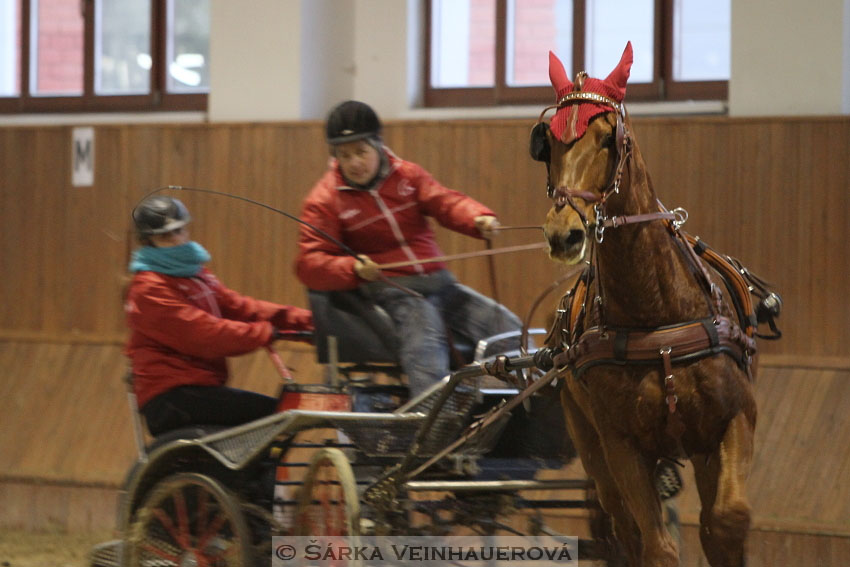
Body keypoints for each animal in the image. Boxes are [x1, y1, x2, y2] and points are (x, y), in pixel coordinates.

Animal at [528, 44, 760, 567]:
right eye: (548, 143)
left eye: (607, 138)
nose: (563, 234)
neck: (657, 317)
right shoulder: (622, 446)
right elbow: (656, 546)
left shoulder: (734, 419)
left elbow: (727, 520)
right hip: (590, 444)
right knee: (622, 527)